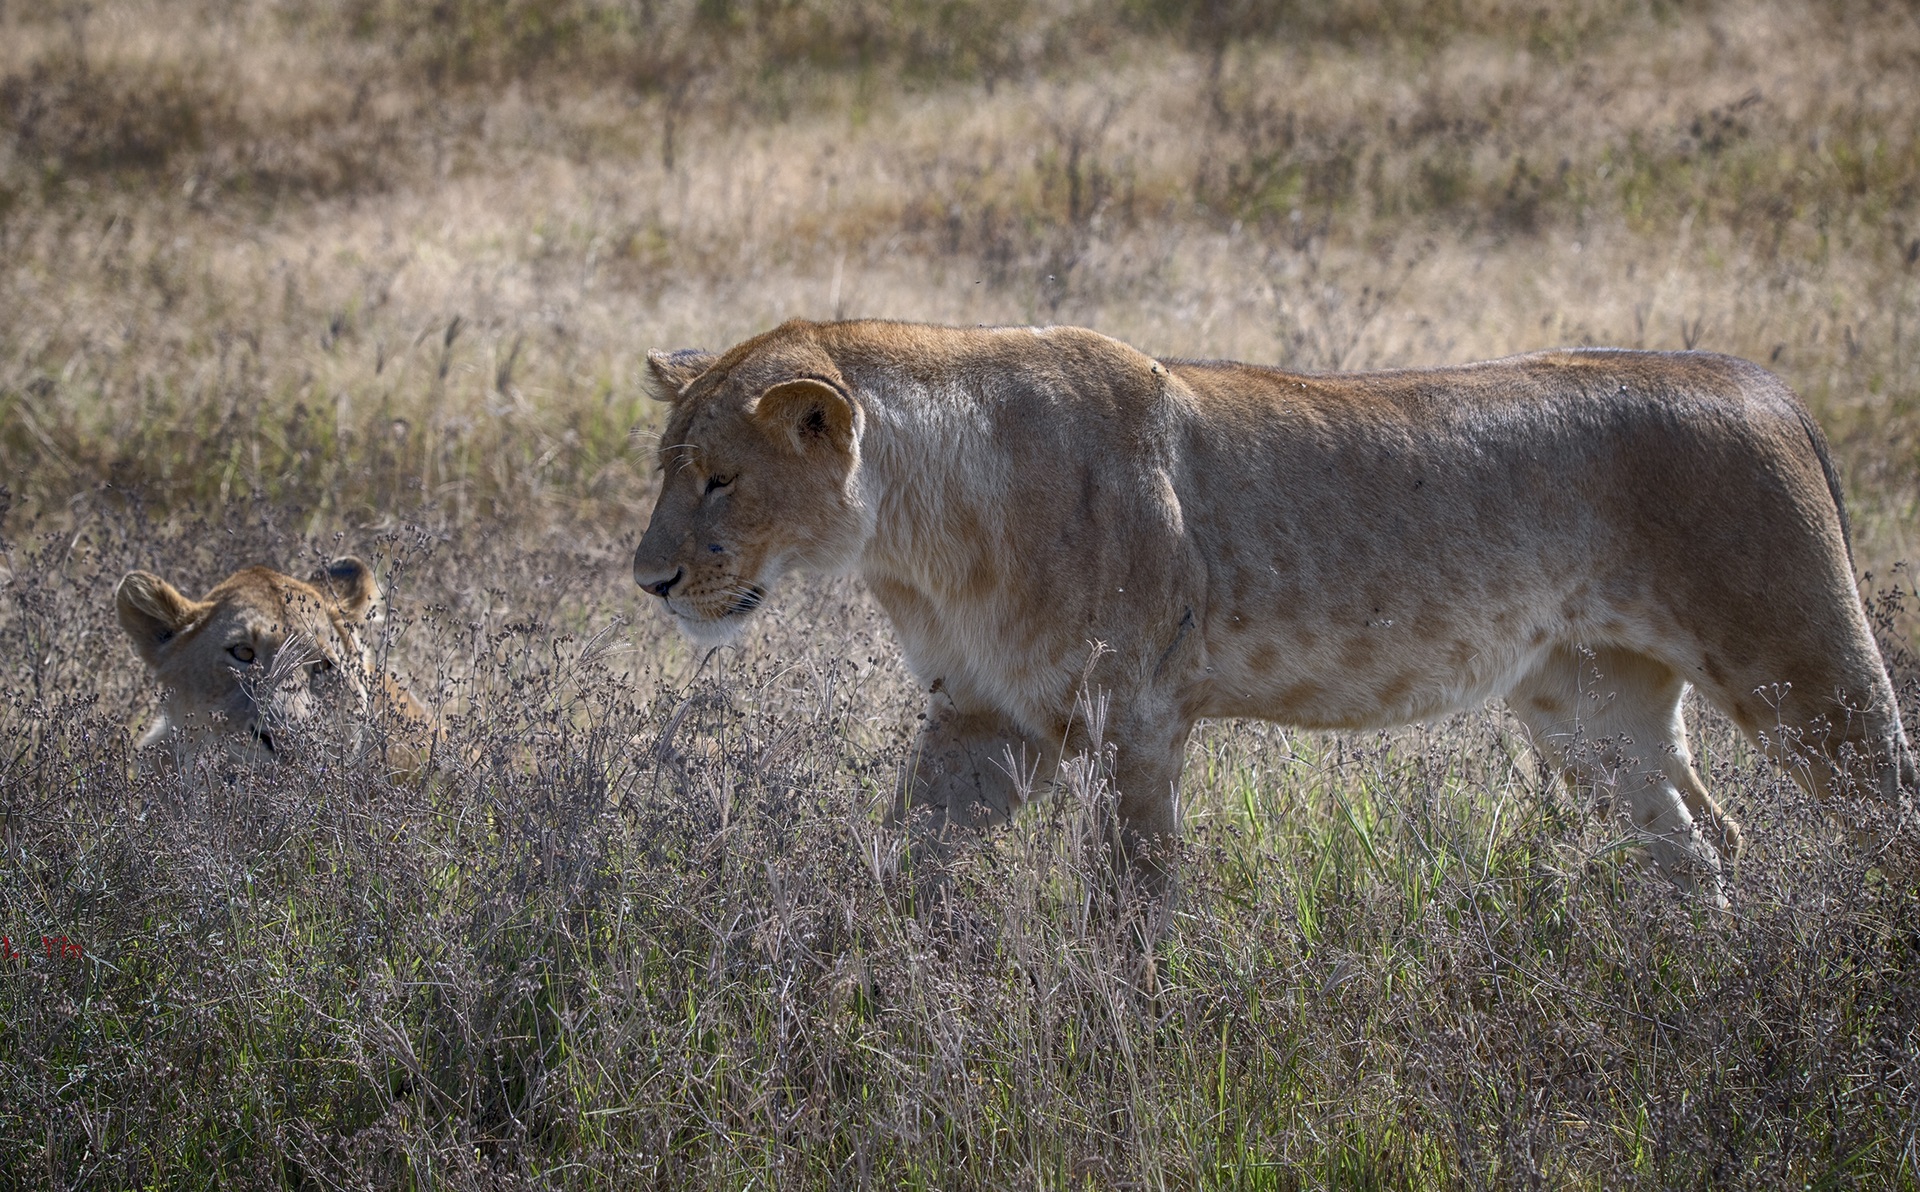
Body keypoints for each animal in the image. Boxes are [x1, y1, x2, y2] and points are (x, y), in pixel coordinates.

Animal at [633, 316, 1920, 902]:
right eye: (665, 468)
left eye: (719, 478)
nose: (648, 580)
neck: (911, 534)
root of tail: (1761, 383)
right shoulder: (985, 721)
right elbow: (896, 860)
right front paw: (853, 982)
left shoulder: (1137, 718)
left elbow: (1133, 898)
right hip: (1590, 708)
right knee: (1700, 843)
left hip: (1803, 663)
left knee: (1883, 813)